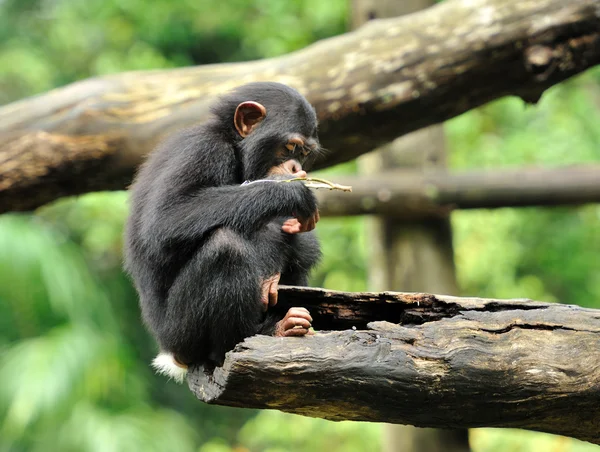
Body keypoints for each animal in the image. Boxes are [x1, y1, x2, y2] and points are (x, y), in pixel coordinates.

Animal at [124, 82, 324, 382]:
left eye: (303, 153)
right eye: (290, 147)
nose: (296, 168)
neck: (236, 149)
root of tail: (172, 356)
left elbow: (301, 242)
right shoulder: (201, 151)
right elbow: (166, 220)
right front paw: (291, 193)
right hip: (182, 336)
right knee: (226, 247)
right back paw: (259, 334)